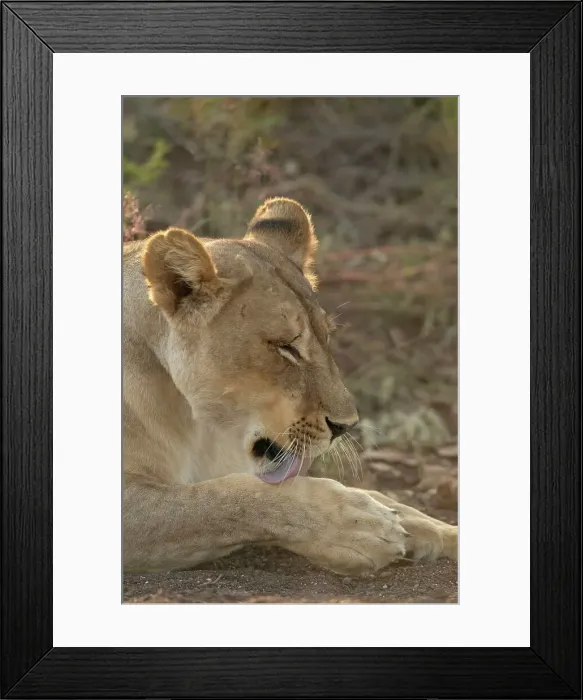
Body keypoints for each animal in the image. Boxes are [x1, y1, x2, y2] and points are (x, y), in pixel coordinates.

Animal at [123, 197, 457, 575]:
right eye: (286, 347)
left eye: (327, 337)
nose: (346, 426)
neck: (200, 428)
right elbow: (228, 500)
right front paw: (356, 525)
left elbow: (391, 501)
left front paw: (440, 530)